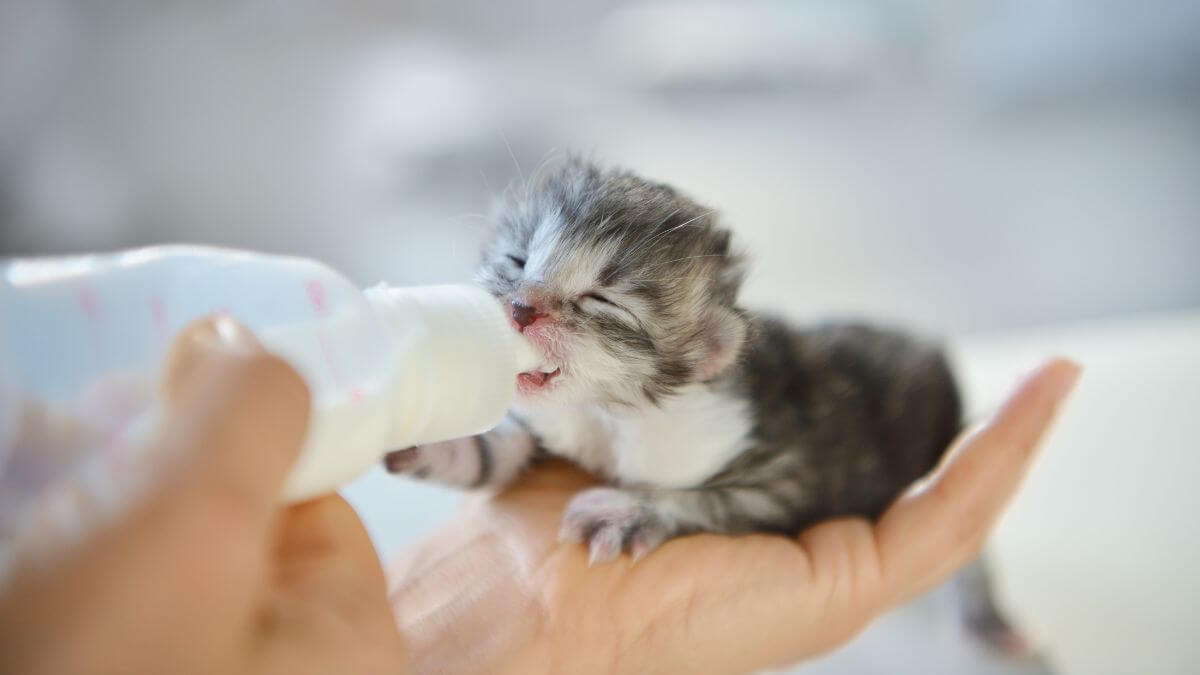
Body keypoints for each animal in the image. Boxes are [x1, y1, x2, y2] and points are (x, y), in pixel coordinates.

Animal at [386, 157, 964, 562]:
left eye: (602, 301)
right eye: (517, 260)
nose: (520, 309)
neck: (607, 414)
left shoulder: (787, 469)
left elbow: (721, 502)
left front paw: (632, 512)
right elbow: (500, 451)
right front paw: (425, 433)